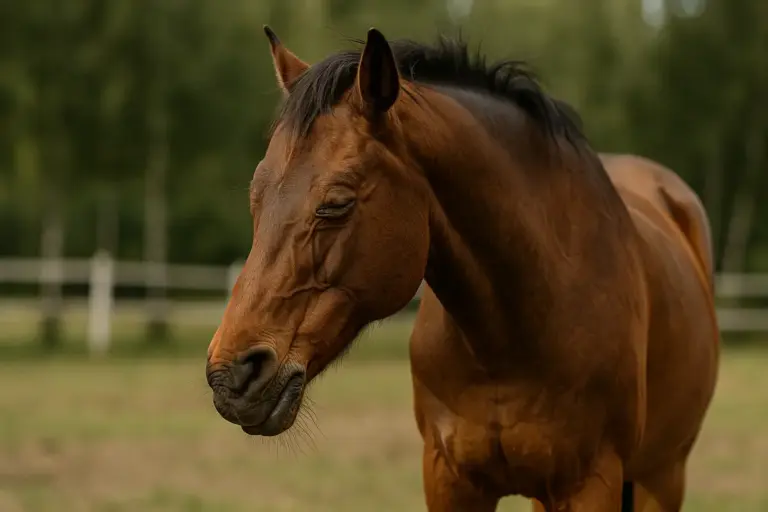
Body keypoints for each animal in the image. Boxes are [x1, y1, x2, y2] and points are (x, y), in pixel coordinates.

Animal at [205, 27, 719, 511]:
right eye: (256, 196)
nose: (231, 377)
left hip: (661, 477)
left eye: (337, 204)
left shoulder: (590, 484)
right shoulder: (449, 479)